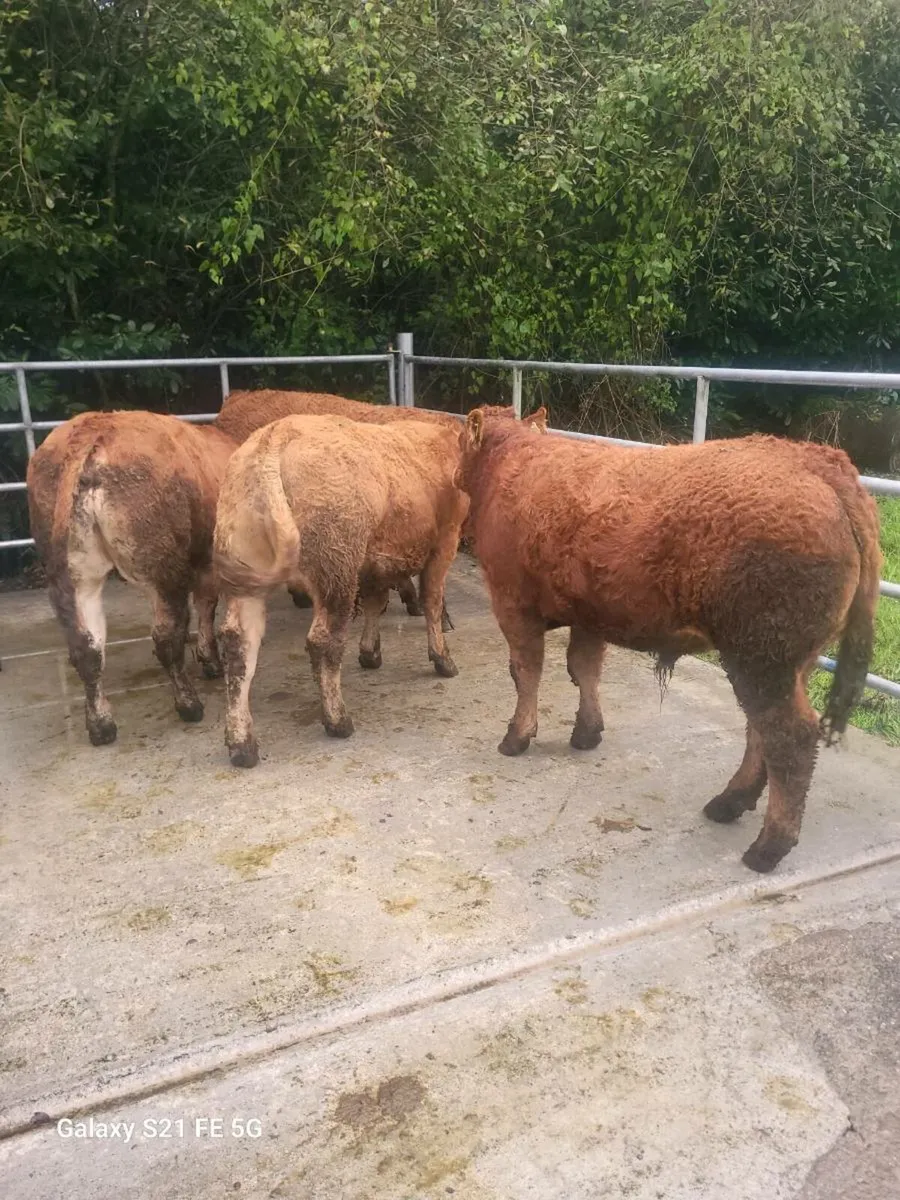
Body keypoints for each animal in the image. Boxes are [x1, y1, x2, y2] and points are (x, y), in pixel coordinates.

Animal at [26, 411, 237, 744]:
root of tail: (91, 434)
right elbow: (207, 604)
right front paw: (210, 660)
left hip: (76, 575)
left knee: (87, 647)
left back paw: (101, 725)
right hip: (161, 568)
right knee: (166, 639)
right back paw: (189, 704)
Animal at [213, 414, 469, 767]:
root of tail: (274, 437)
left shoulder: (376, 559)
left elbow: (376, 601)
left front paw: (370, 653)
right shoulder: (445, 541)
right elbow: (431, 599)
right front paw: (442, 659)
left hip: (247, 578)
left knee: (238, 645)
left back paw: (242, 743)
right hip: (336, 568)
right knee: (323, 641)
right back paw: (337, 720)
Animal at [456, 406, 881, 873]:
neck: (513, 463)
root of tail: (815, 460)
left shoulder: (512, 604)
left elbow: (526, 671)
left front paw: (517, 736)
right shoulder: (589, 613)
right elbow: (583, 668)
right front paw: (587, 732)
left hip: (761, 658)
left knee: (789, 739)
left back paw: (768, 846)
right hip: (784, 663)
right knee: (761, 733)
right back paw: (730, 802)